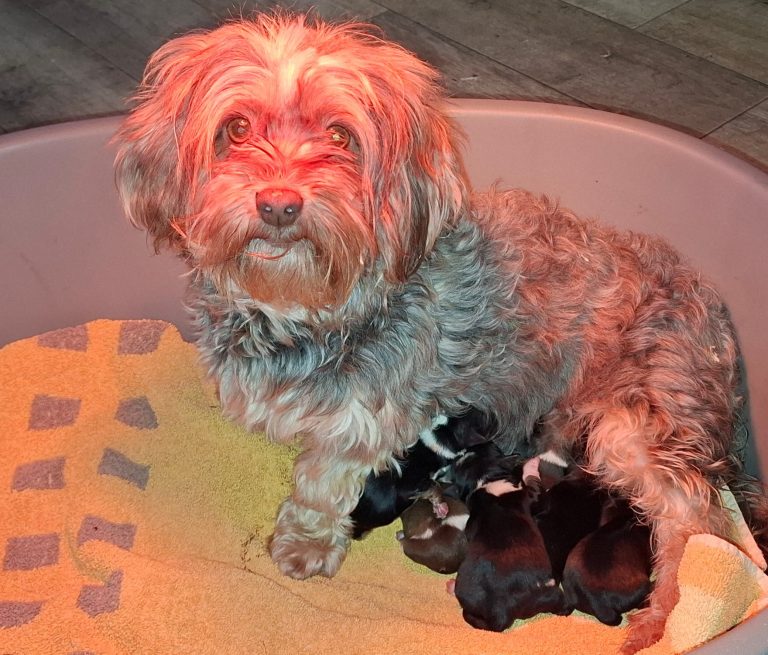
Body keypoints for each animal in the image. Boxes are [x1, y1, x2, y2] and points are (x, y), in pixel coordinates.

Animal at [113, 13, 768, 652]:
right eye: (237, 127)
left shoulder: (361, 422)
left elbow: (319, 485)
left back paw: (665, 620)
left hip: (631, 431)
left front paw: (305, 545)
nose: (279, 204)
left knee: (699, 528)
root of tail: (717, 323)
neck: (309, 310)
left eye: (340, 136)